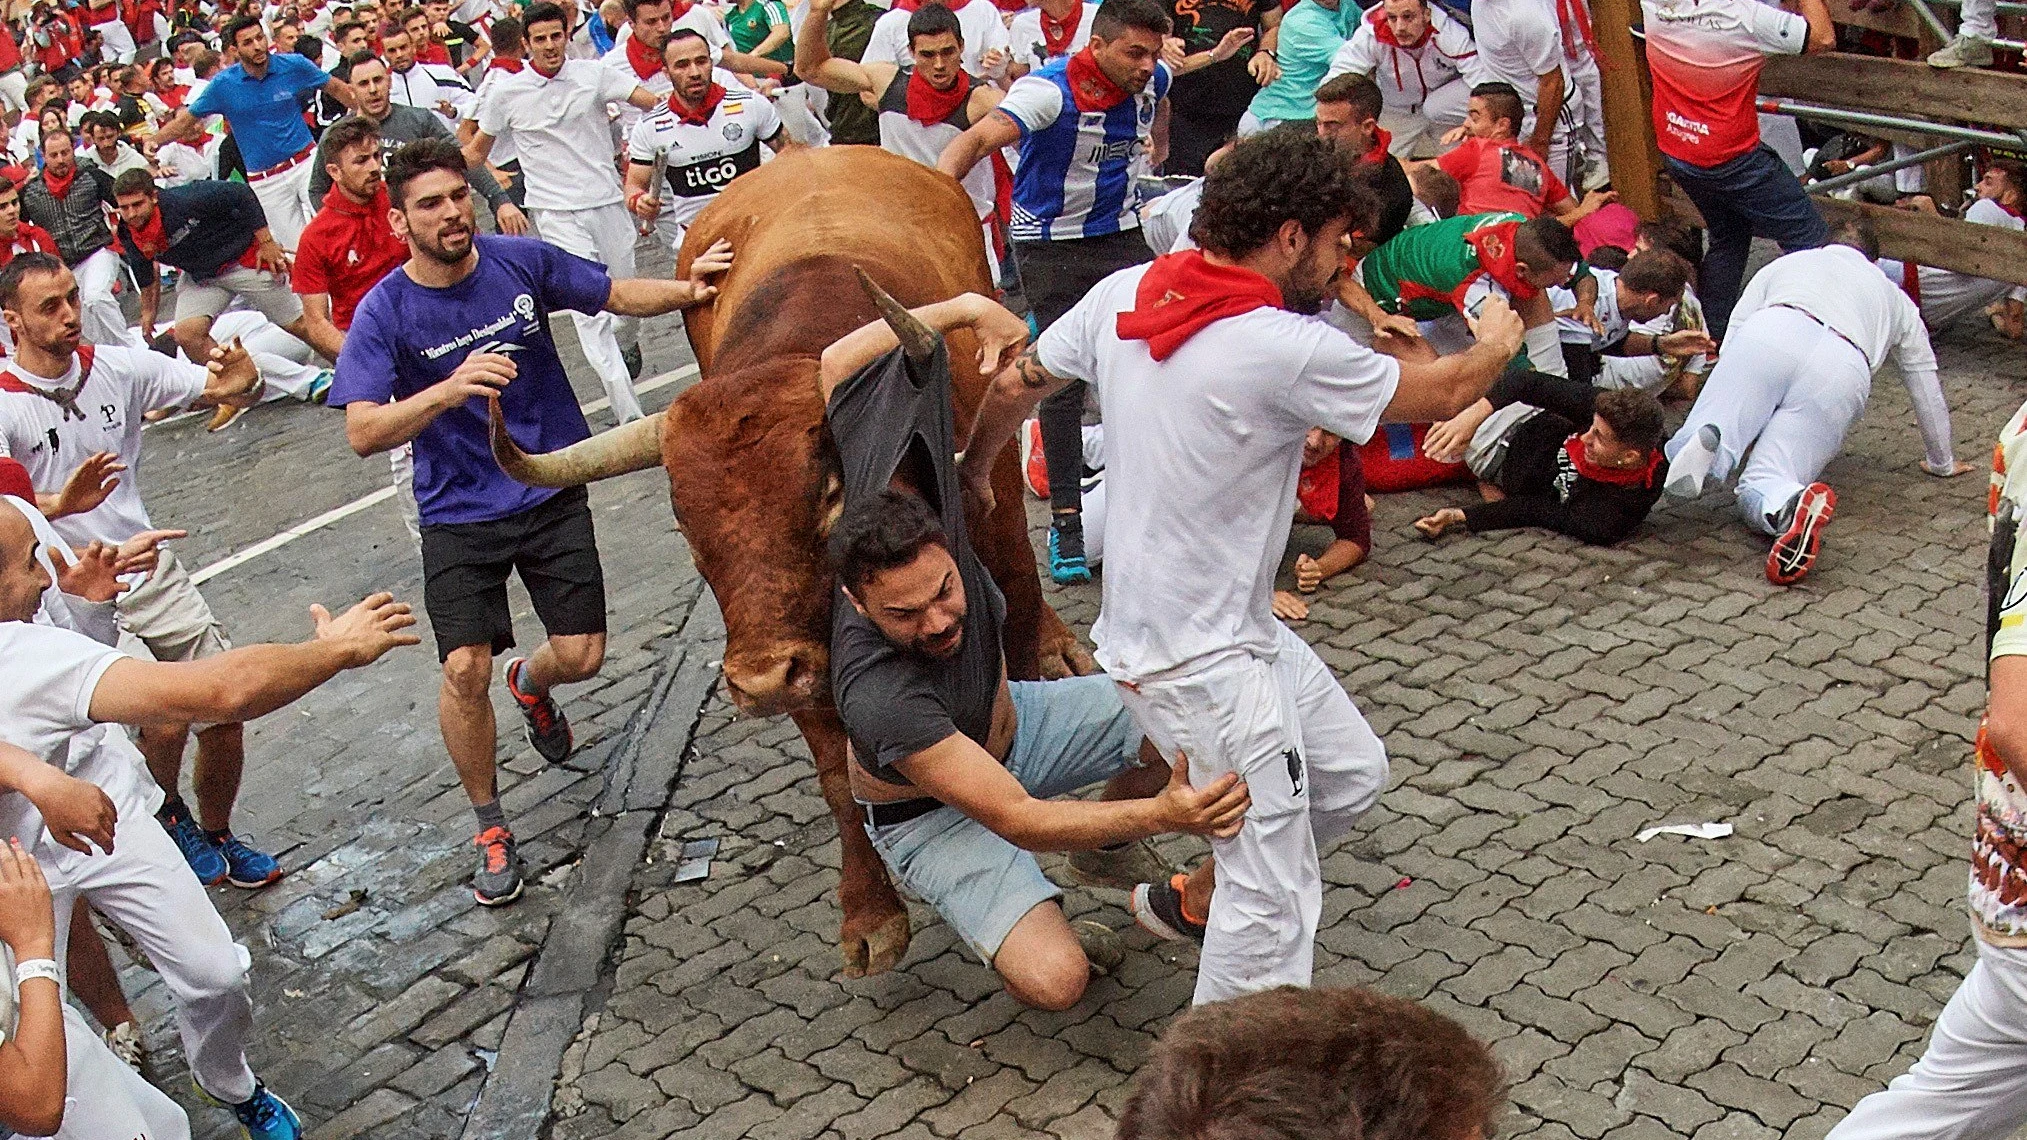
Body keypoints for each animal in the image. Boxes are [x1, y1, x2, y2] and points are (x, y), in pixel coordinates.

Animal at [486, 146, 1094, 973]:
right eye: (683, 525)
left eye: (830, 494)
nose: (760, 682)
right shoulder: (808, 649)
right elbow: (839, 776)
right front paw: (869, 914)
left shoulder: (986, 494)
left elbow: (1017, 610)